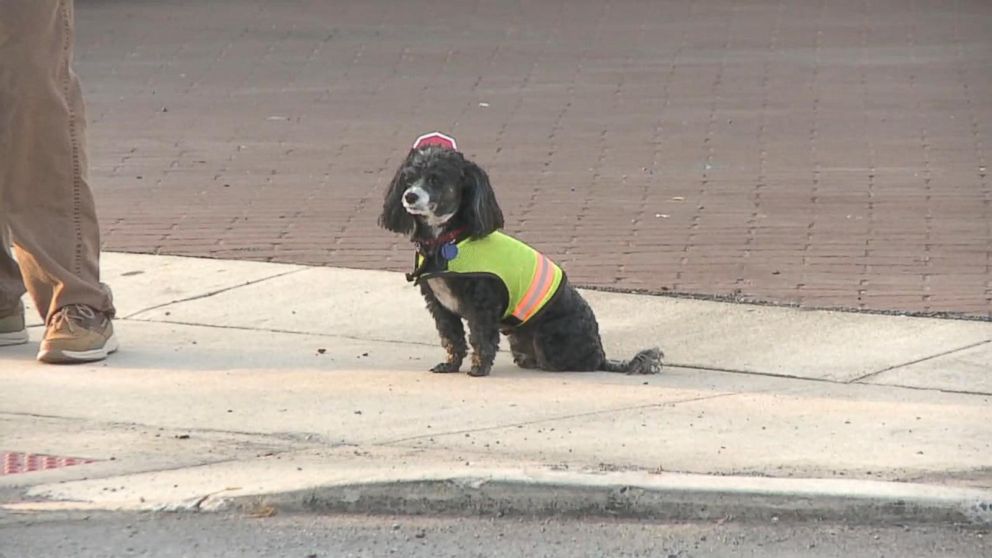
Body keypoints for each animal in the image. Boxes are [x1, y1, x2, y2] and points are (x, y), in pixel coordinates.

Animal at [384, 133, 664, 378]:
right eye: (408, 179)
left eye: (435, 179)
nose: (409, 196)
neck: (449, 239)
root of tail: (601, 356)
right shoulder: (440, 306)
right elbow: (451, 338)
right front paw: (451, 365)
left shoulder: (482, 306)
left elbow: (481, 338)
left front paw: (478, 369)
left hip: (549, 338)